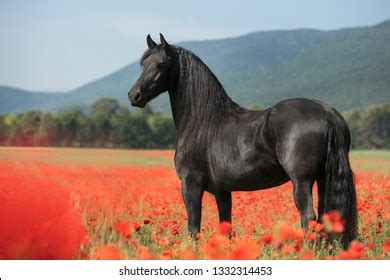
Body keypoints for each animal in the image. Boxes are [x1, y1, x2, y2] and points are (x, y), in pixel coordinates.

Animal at [128, 33, 356, 247]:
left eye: (161, 63)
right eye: (144, 64)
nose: (134, 96)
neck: (204, 122)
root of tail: (326, 111)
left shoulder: (190, 185)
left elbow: (194, 227)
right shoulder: (222, 191)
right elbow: (225, 226)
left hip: (302, 181)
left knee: (308, 217)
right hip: (323, 178)